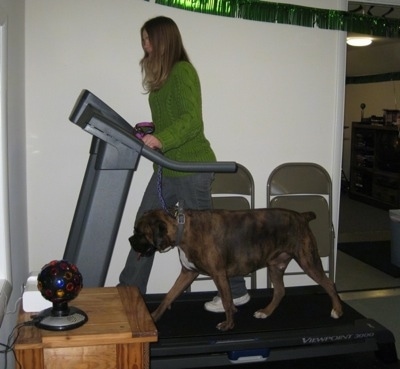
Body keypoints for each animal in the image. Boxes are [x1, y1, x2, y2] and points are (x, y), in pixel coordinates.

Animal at [130, 207, 342, 330]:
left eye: (140, 233)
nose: (129, 240)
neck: (182, 228)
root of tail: (301, 216)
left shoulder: (218, 275)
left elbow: (226, 301)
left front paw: (229, 324)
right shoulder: (188, 274)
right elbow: (169, 296)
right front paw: (153, 317)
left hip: (308, 261)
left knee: (329, 284)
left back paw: (337, 310)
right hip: (275, 265)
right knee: (280, 291)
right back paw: (265, 312)